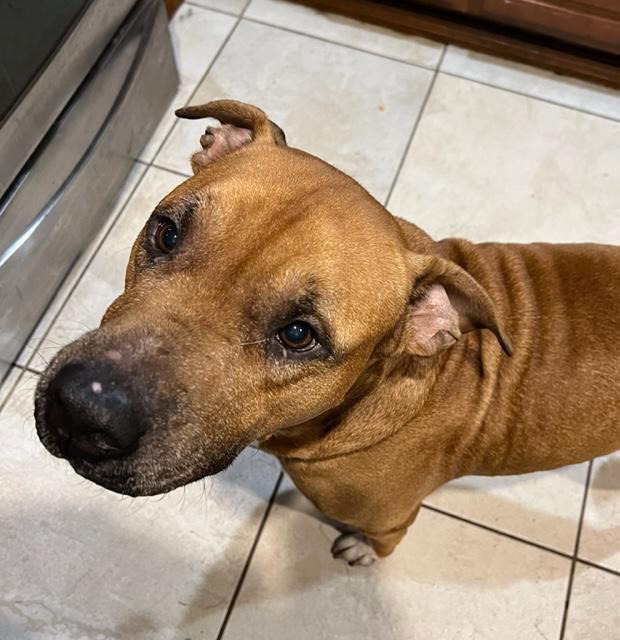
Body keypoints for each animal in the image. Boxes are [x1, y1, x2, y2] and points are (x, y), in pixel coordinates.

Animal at [36, 100, 620, 564]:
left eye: (299, 335)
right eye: (166, 233)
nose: (83, 409)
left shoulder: (390, 515)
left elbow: (385, 539)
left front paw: (361, 551)